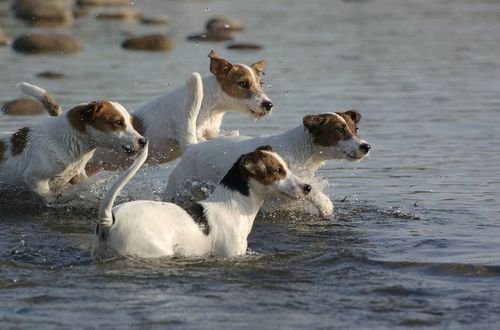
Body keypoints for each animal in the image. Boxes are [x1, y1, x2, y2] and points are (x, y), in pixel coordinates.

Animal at [0, 82, 146, 202]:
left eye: (130, 122)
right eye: (118, 122)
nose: (143, 141)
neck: (66, 140)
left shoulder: (78, 176)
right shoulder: (35, 179)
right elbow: (50, 197)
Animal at [86, 49, 274, 173]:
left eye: (261, 83)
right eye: (243, 83)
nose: (268, 104)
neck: (209, 105)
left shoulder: (211, 131)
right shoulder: (190, 134)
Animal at [164, 110, 372, 217]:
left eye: (355, 129)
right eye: (339, 130)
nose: (366, 146)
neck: (301, 150)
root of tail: (193, 147)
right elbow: (313, 192)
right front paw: (325, 205)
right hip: (177, 188)